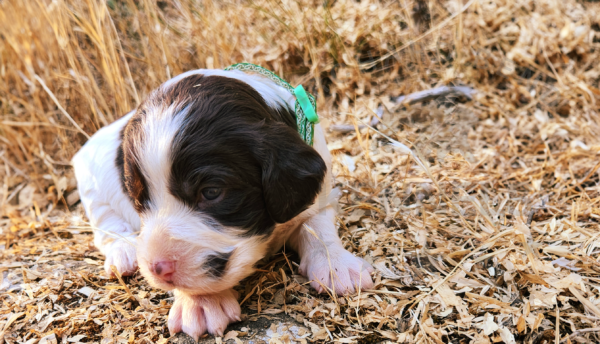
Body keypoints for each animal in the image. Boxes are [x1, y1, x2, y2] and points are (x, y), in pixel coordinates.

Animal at [71, 69, 376, 338]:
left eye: (211, 192)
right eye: (138, 199)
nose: (158, 269)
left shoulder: (319, 193)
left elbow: (317, 225)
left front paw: (338, 266)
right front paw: (201, 303)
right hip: (92, 188)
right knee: (106, 226)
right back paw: (123, 253)